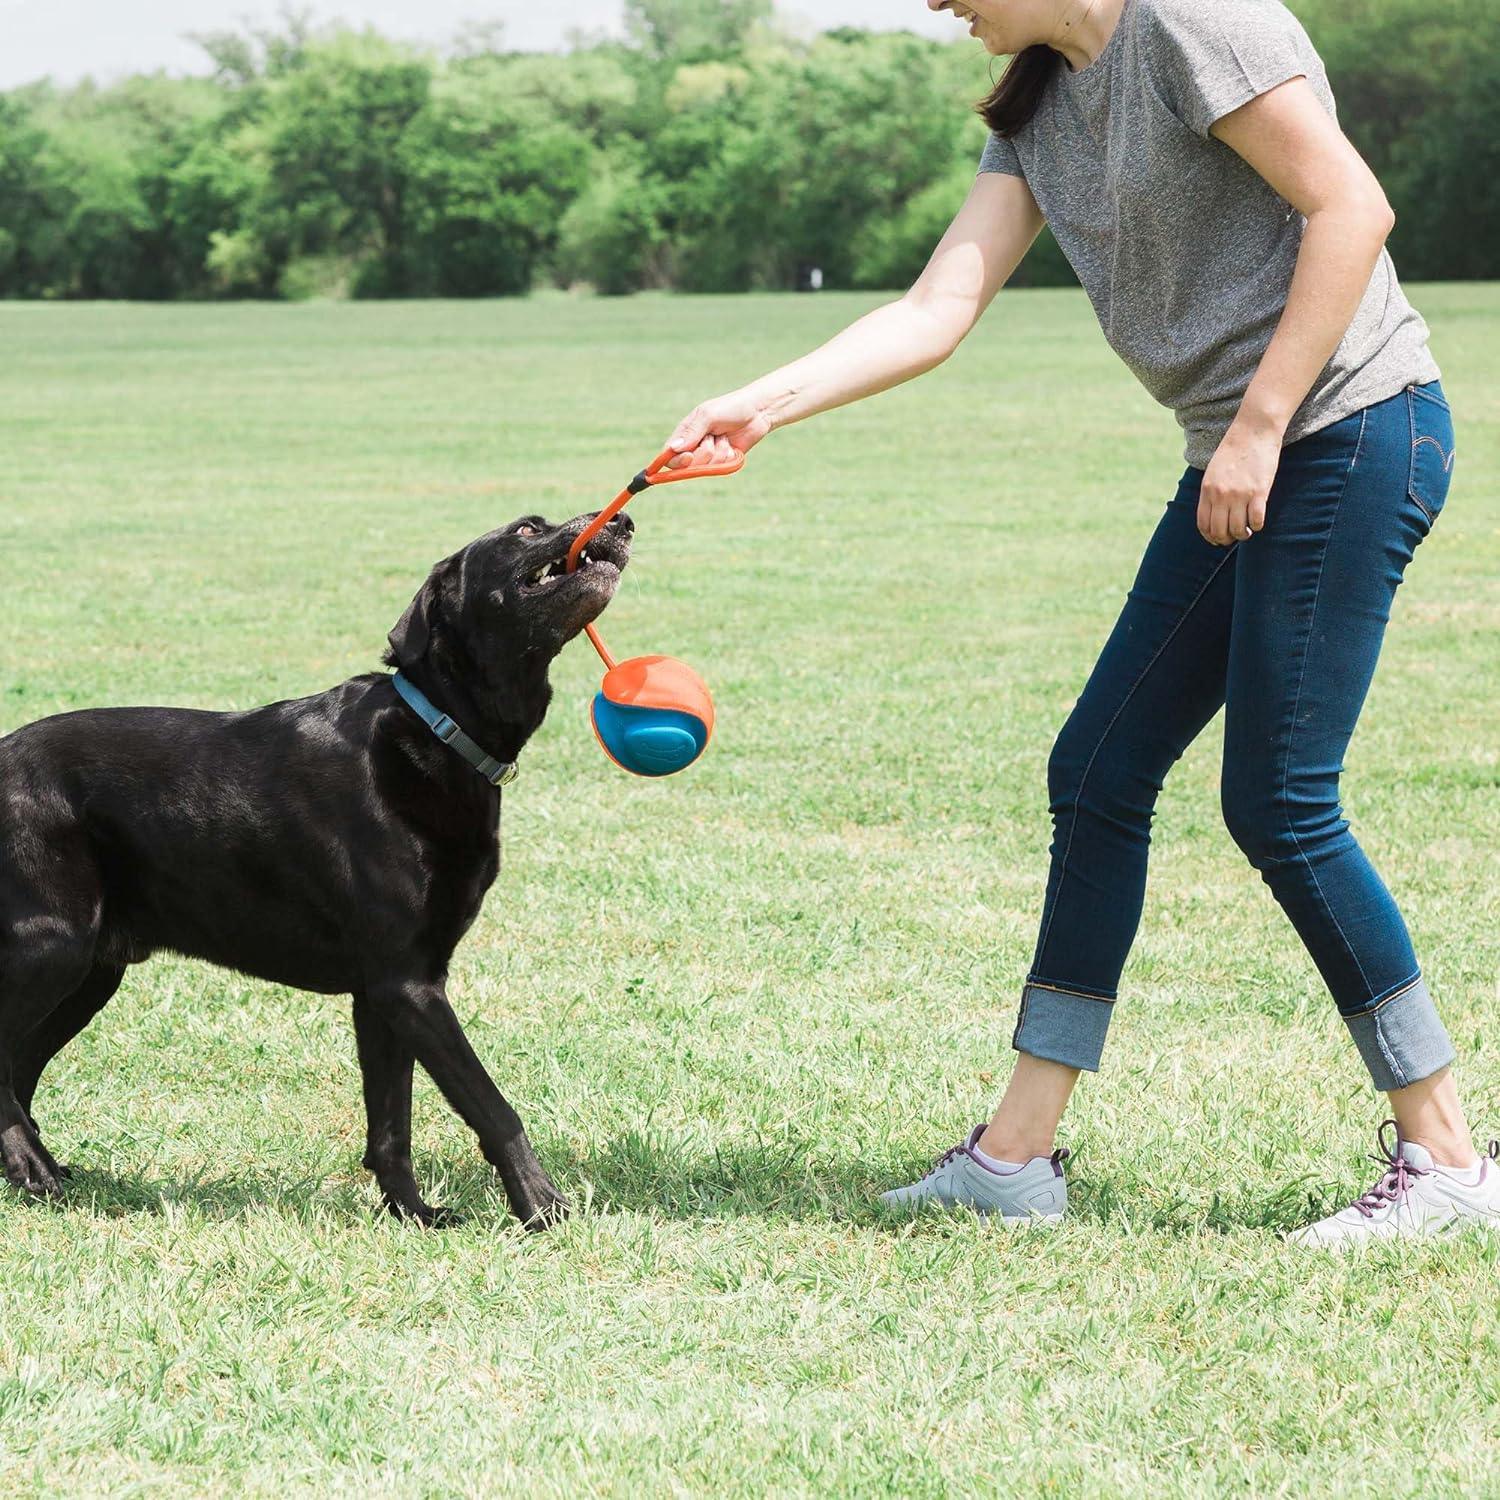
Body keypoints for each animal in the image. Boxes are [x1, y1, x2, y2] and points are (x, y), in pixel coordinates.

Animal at [0, 513, 633, 1230]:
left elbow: (392, 1123)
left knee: (18, 1070)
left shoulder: (386, 992)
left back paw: (37, 1170)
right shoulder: (410, 984)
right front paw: (543, 1206)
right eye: (528, 528)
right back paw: (32, 1170)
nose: (625, 519)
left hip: (91, 972)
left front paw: (413, 1213)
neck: (438, 729)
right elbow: (491, 1106)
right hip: (52, 948)